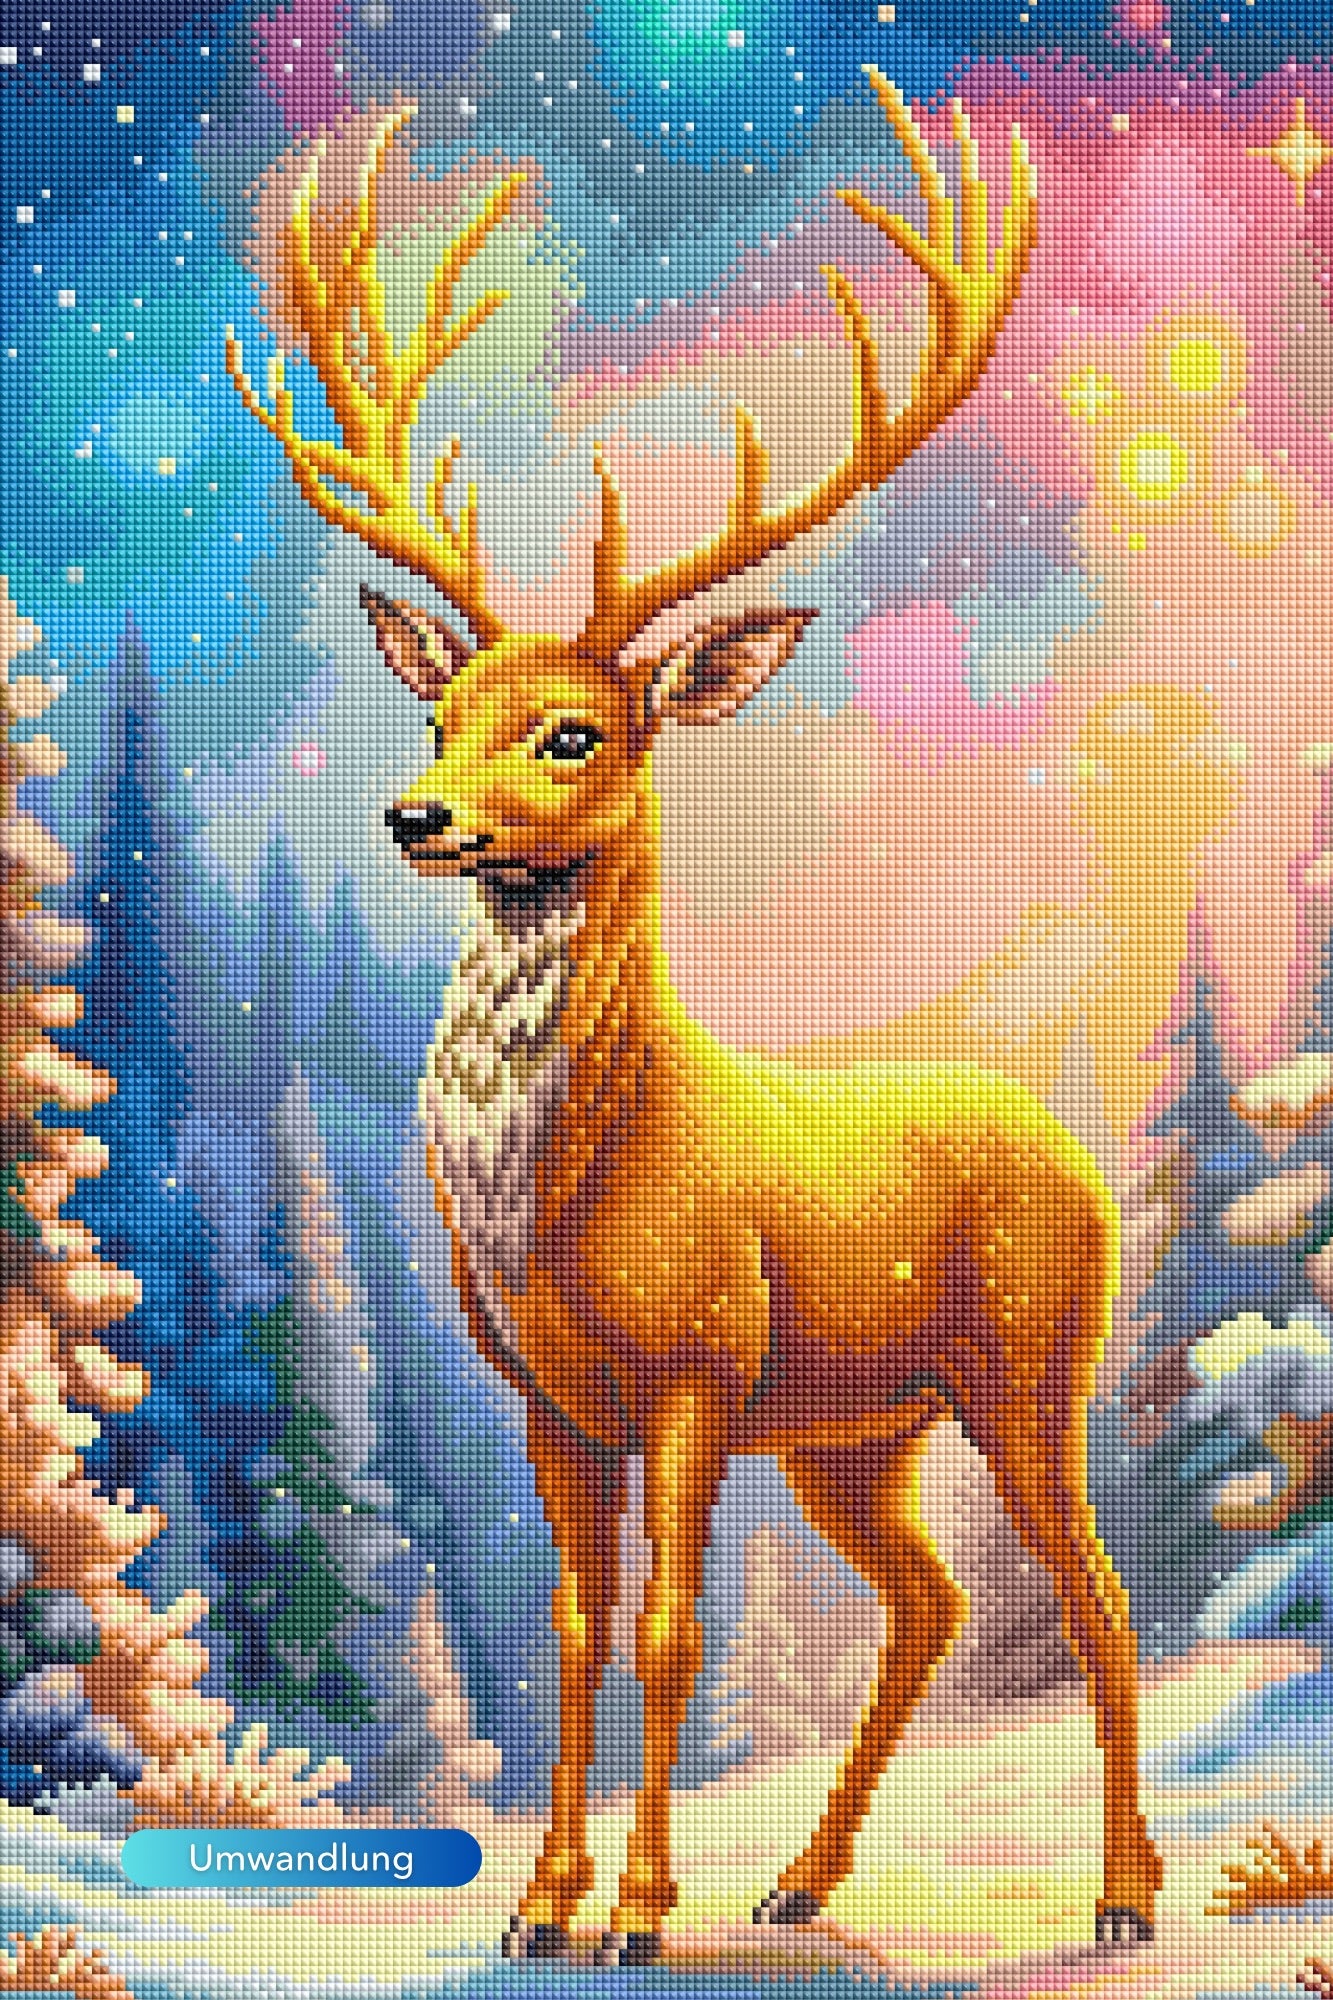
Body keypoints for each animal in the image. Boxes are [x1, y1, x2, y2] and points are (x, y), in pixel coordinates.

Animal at [227, 73, 1162, 1964]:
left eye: (573, 731)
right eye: (442, 708)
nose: (416, 818)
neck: (561, 1190)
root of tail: (1068, 1140)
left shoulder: (697, 1366)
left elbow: (668, 1630)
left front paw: (640, 1911)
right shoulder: (548, 1394)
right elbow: (579, 1632)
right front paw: (540, 1901)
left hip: (1030, 1367)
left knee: (1096, 1597)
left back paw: (1117, 1899)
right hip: (861, 1433)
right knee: (931, 1603)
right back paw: (800, 1880)